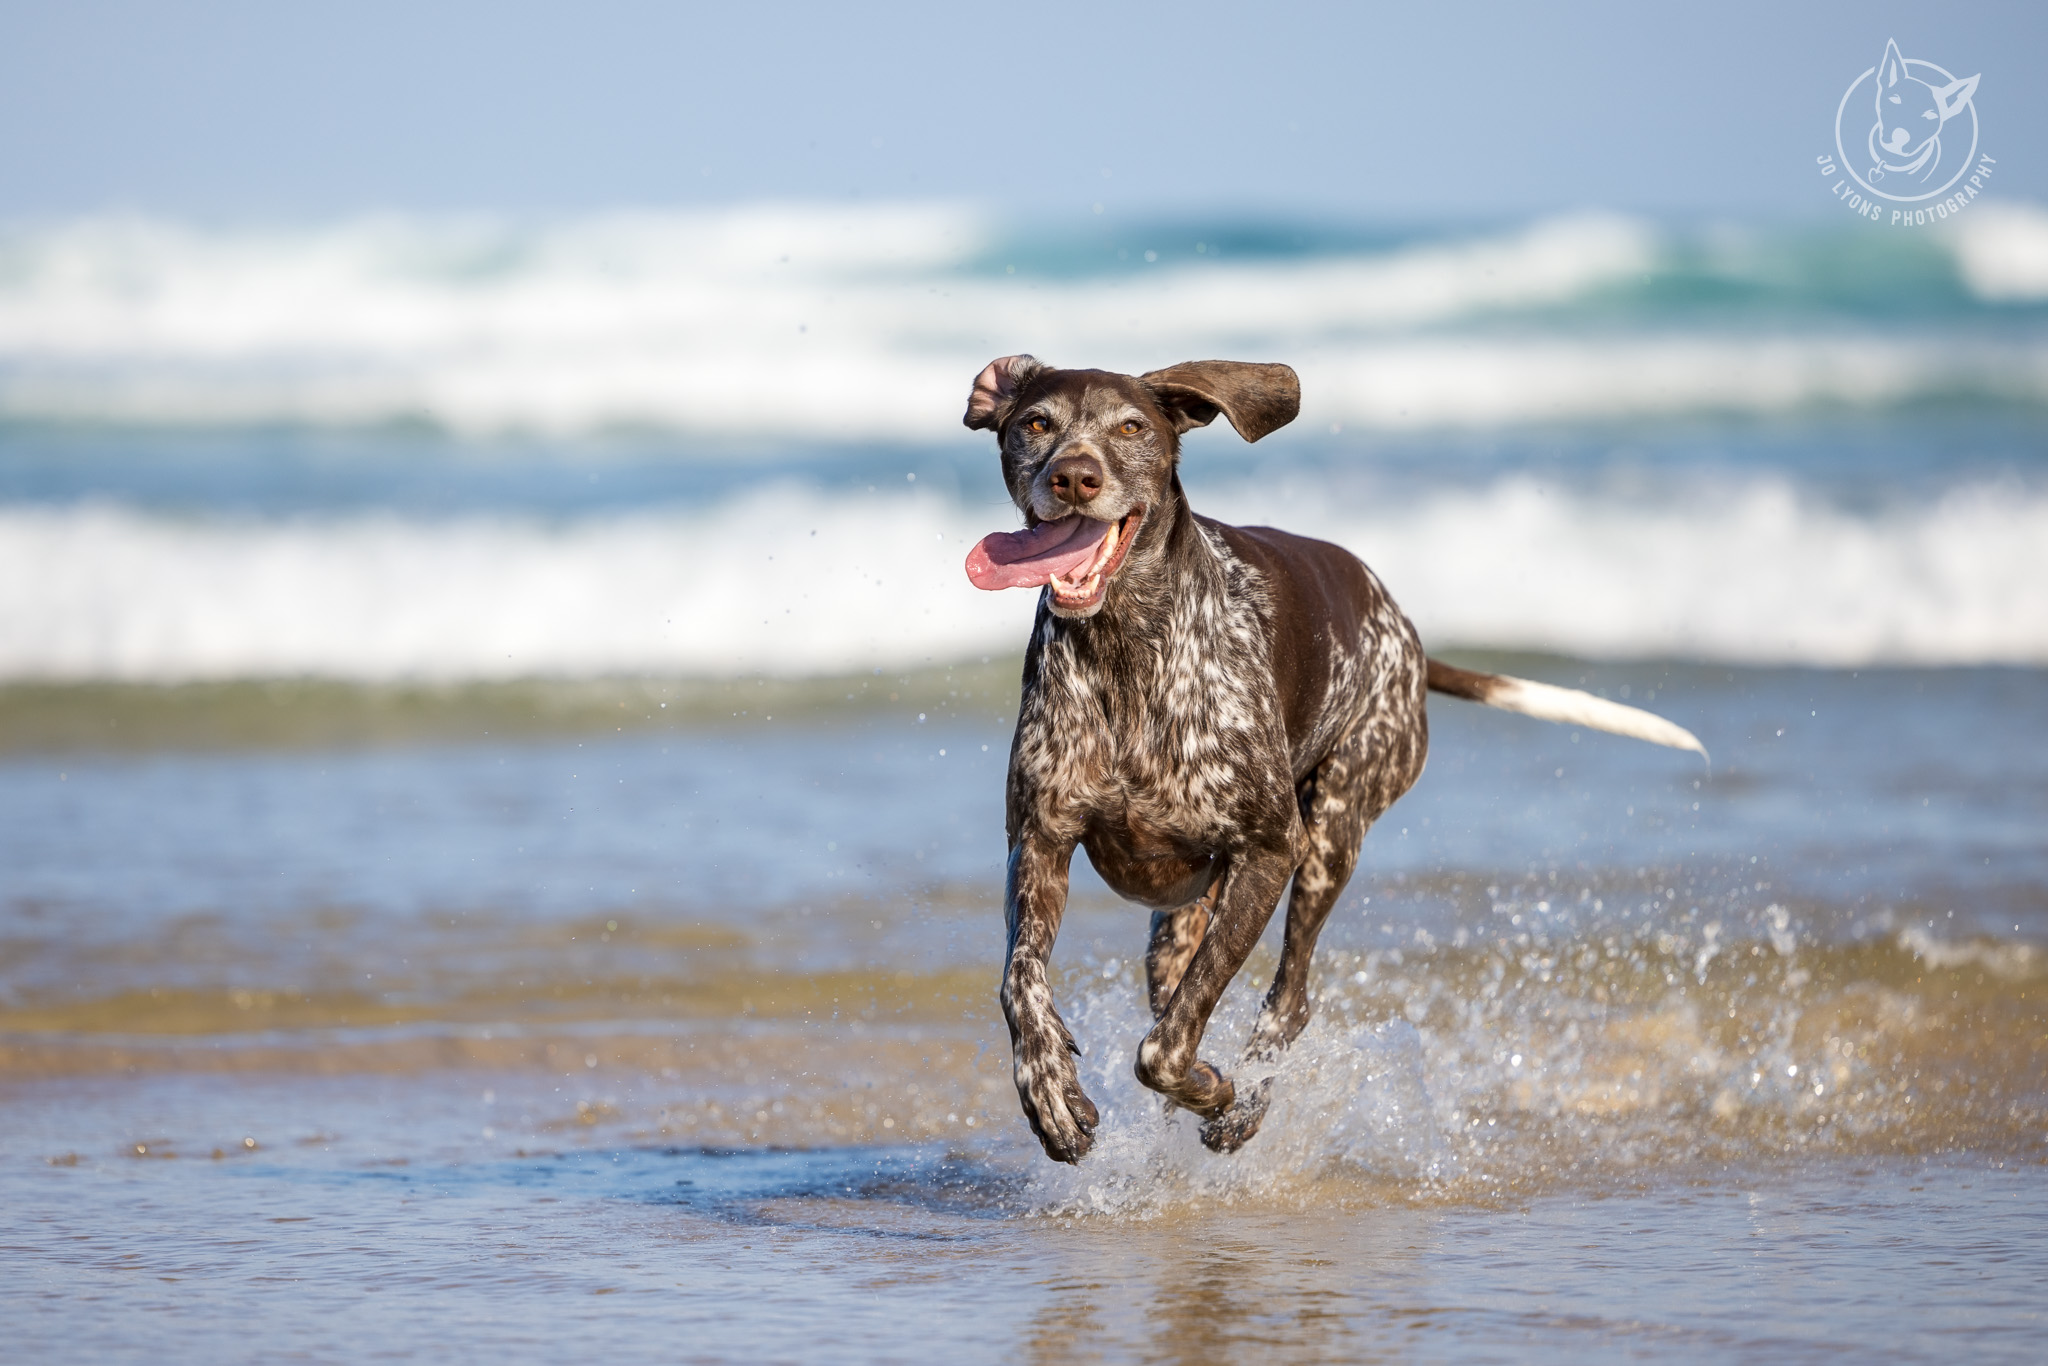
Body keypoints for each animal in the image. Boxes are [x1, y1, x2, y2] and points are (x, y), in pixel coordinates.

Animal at [966, 356, 1703, 1163]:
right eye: (1036, 423)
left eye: (1131, 428)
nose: (1074, 477)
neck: (1124, 646)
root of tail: (1408, 635)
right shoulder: (1039, 842)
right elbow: (1020, 982)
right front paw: (1049, 1088)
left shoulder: (1268, 851)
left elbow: (1164, 1051)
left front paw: (1216, 1092)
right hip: (1185, 915)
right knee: (1180, 987)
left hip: (1331, 834)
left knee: (1288, 999)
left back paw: (1243, 1103)